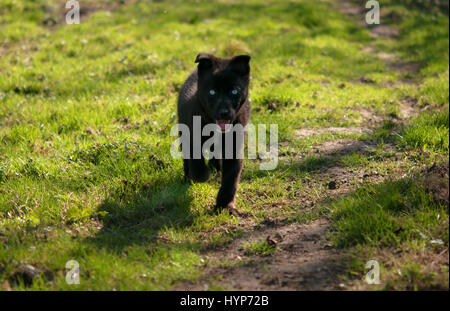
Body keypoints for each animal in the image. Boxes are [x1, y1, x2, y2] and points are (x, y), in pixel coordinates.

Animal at [178, 53, 251, 212]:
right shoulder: (191, 137)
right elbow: (196, 161)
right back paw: (188, 178)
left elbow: (231, 178)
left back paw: (216, 169)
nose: (223, 113)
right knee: (187, 160)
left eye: (234, 91)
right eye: (212, 92)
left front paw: (225, 205)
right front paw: (201, 176)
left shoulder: (234, 148)